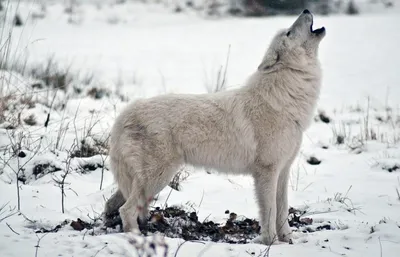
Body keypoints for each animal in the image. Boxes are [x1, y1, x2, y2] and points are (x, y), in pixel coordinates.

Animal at [103, 8, 324, 244]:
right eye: (289, 32)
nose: (306, 10)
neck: (284, 96)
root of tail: (126, 112)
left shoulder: (282, 171)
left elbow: (282, 211)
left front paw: (288, 240)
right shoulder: (267, 172)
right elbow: (270, 212)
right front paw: (271, 242)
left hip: (144, 180)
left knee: (112, 204)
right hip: (157, 179)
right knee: (126, 210)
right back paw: (136, 238)